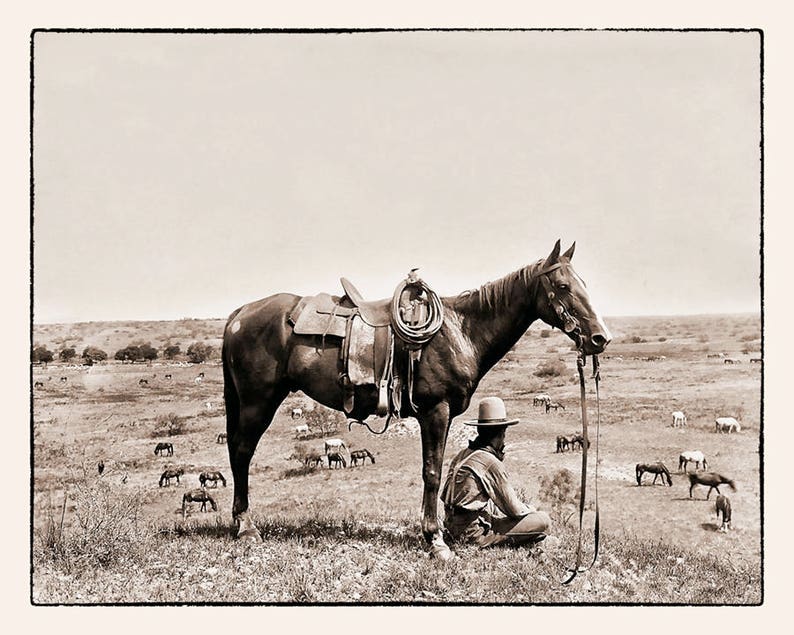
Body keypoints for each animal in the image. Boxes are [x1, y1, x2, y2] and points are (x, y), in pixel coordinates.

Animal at [220, 241, 608, 560]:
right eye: (563, 286)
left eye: (585, 285)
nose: (600, 338)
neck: (460, 331)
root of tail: (239, 314)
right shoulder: (435, 411)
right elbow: (432, 473)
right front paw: (435, 540)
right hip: (258, 402)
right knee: (241, 452)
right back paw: (246, 527)